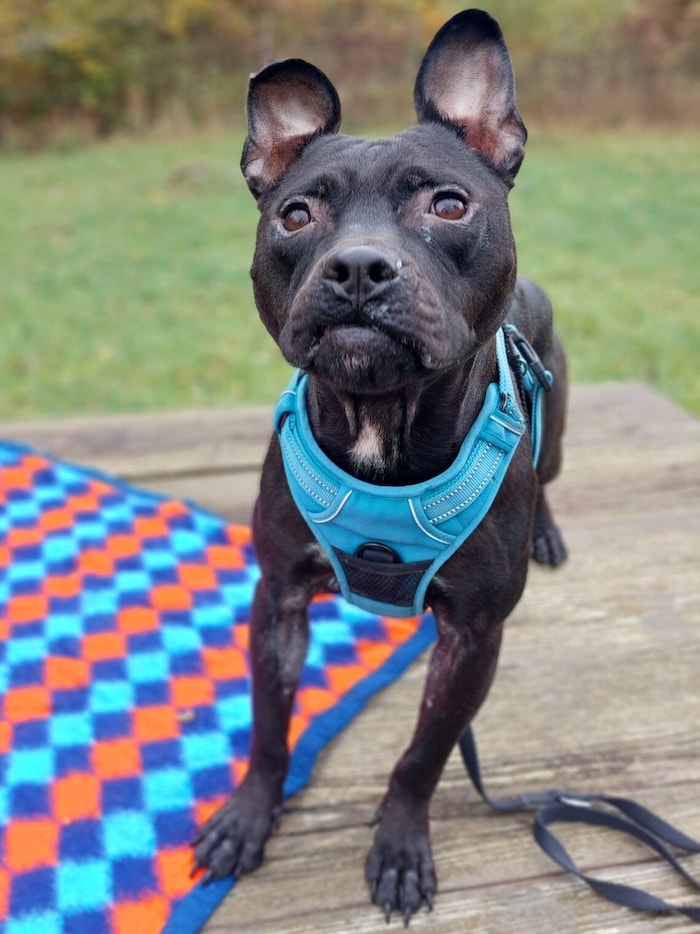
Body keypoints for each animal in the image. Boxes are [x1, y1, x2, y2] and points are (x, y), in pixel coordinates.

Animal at [193, 8, 567, 924]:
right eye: (295, 216)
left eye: (449, 204)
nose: (358, 265)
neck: (380, 424)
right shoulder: (279, 601)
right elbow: (269, 727)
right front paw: (248, 817)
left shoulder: (472, 637)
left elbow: (423, 755)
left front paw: (399, 845)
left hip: (557, 420)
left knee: (549, 474)